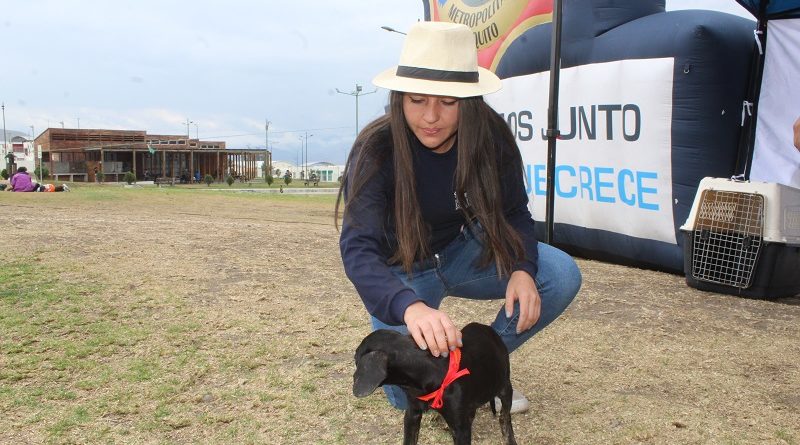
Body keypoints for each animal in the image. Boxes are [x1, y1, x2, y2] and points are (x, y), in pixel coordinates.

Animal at [352, 320, 516, 442]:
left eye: (356, 357)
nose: (353, 378)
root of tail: (489, 329)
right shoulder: (412, 414)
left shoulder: (460, 430)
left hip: (505, 388)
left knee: (505, 418)